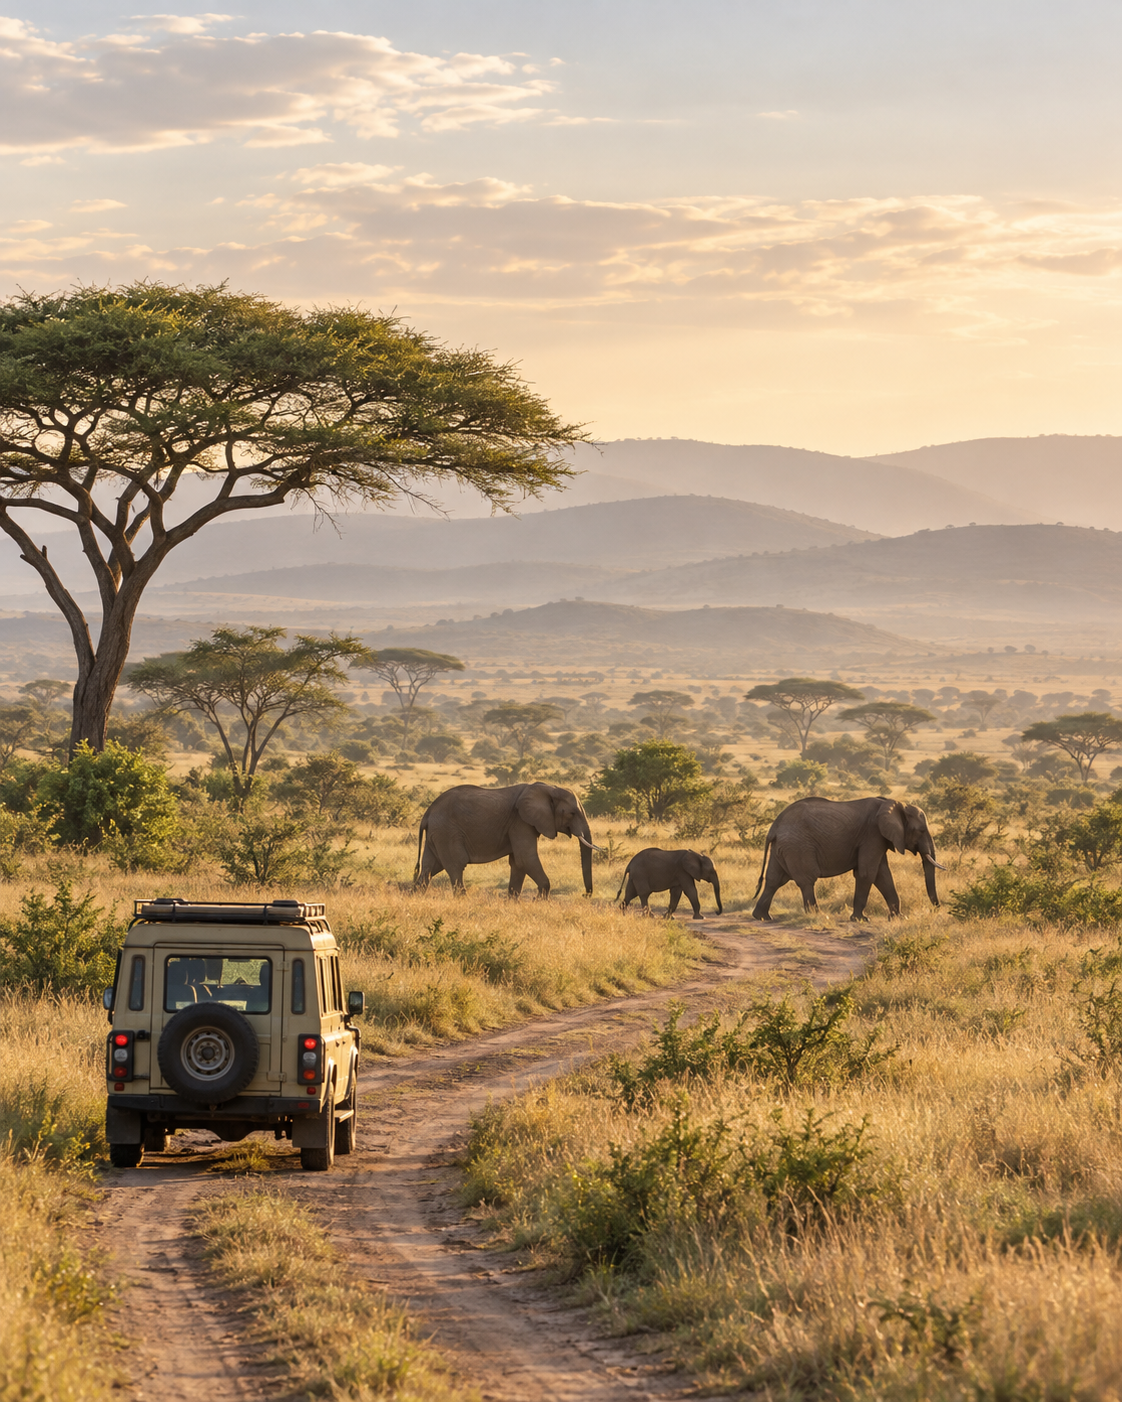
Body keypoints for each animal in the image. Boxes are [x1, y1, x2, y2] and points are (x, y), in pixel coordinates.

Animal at [414, 782, 595, 897]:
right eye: (571, 813)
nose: (584, 895)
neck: (549, 788)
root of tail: (427, 813)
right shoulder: (520, 822)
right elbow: (525, 859)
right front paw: (538, 901)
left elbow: (518, 863)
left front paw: (512, 903)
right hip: (447, 832)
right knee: (456, 865)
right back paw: (463, 900)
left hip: (437, 835)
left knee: (429, 868)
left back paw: (416, 896)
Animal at [752, 795, 943, 922]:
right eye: (921, 830)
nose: (937, 909)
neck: (895, 804)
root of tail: (774, 827)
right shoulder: (872, 834)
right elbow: (867, 873)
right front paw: (860, 919)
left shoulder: (877, 838)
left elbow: (883, 875)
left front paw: (899, 918)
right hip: (798, 846)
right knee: (806, 880)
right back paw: (819, 915)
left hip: (782, 848)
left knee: (774, 880)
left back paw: (762, 917)